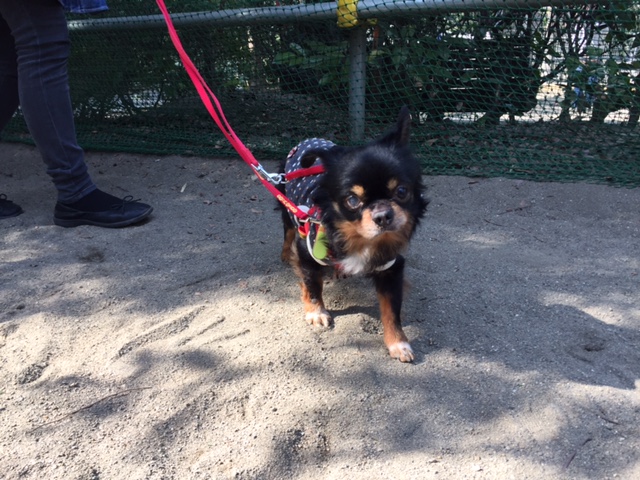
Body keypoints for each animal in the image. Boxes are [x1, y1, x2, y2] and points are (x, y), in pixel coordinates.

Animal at [278, 106, 428, 362]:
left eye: (401, 191)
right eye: (352, 200)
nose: (383, 215)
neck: (361, 239)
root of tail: (307, 141)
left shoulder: (391, 268)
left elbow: (391, 310)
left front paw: (398, 343)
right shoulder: (307, 251)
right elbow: (311, 283)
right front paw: (316, 311)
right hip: (288, 209)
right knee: (288, 231)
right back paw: (285, 254)